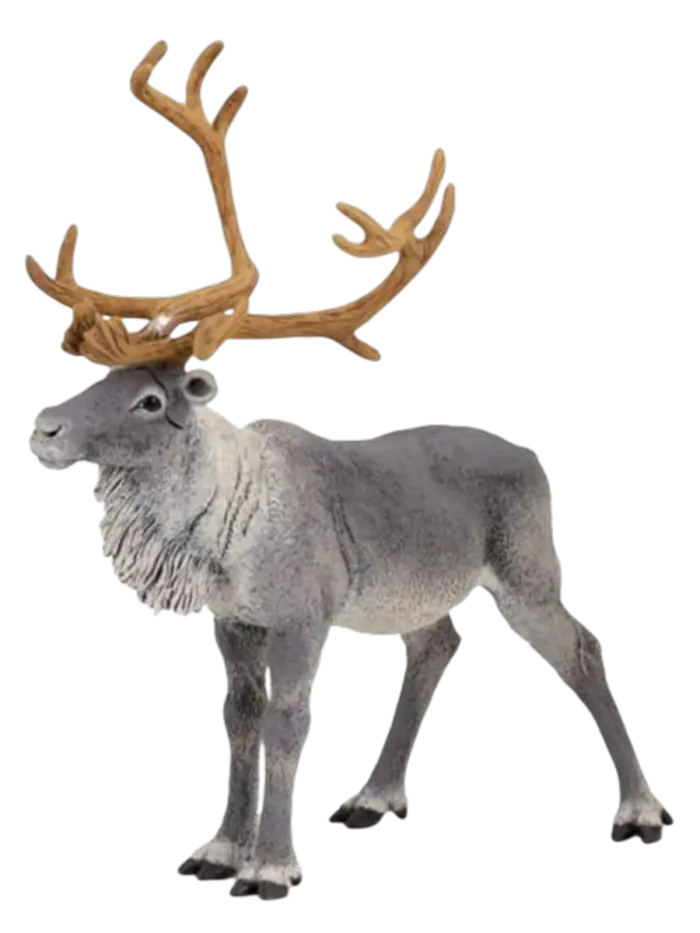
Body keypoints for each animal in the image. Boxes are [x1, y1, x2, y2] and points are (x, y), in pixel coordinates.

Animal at [25, 38, 667, 903]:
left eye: (151, 399)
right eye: (100, 377)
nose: (44, 428)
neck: (220, 531)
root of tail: (532, 457)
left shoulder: (304, 609)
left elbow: (286, 723)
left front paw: (270, 865)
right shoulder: (233, 619)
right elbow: (239, 721)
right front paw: (217, 847)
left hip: (529, 567)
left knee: (583, 648)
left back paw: (639, 807)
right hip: (421, 586)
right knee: (436, 641)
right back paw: (375, 794)